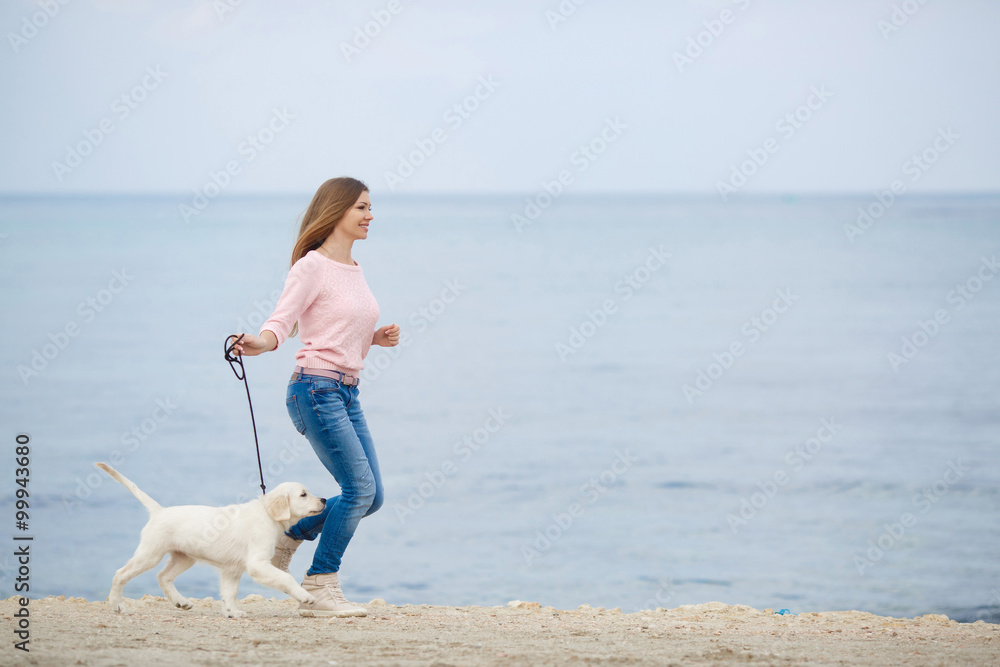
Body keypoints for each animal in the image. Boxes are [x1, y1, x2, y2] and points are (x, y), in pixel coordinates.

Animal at [96, 462, 324, 620]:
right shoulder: (257, 564)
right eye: (303, 494)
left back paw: (181, 602)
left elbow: (230, 593)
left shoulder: (232, 570)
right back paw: (117, 605)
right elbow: (285, 578)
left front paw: (233, 612)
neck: (268, 514)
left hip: (184, 558)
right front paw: (305, 597)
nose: (323, 500)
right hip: (150, 554)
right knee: (121, 574)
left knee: (163, 576)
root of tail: (159, 511)